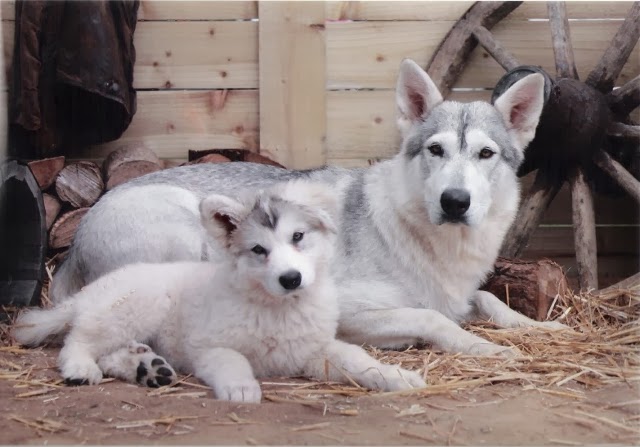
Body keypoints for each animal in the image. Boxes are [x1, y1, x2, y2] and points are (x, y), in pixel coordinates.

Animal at [13, 182, 424, 402]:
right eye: (259, 250)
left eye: (298, 237)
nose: (291, 279)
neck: (278, 310)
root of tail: (88, 292)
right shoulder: (209, 346)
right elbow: (233, 361)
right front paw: (241, 389)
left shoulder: (315, 350)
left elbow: (358, 359)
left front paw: (397, 377)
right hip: (130, 308)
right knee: (79, 340)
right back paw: (81, 368)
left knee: (110, 351)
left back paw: (146, 367)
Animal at [47, 60, 564, 360]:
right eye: (436, 150)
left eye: (485, 154)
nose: (455, 201)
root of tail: (78, 237)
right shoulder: (352, 306)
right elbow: (432, 318)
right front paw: (482, 346)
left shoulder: (461, 292)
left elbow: (488, 300)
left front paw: (537, 326)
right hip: (185, 236)